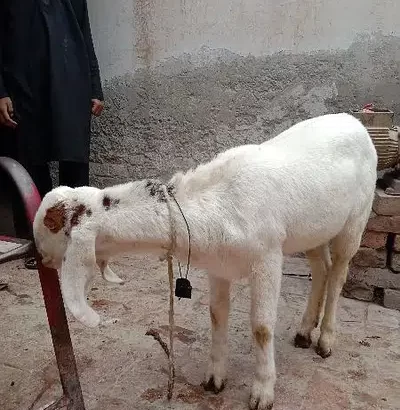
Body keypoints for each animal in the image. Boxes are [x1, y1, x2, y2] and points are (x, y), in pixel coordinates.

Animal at [33, 113, 376, 410]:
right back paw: (305, 332)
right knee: (321, 270)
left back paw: (325, 340)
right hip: (313, 231)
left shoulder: (267, 257)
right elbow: (216, 316)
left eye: (51, 225)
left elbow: (262, 327)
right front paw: (214, 380)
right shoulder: (218, 266)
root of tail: (353, 120)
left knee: (339, 274)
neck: (217, 201)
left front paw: (262, 392)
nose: (41, 258)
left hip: (355, 220)